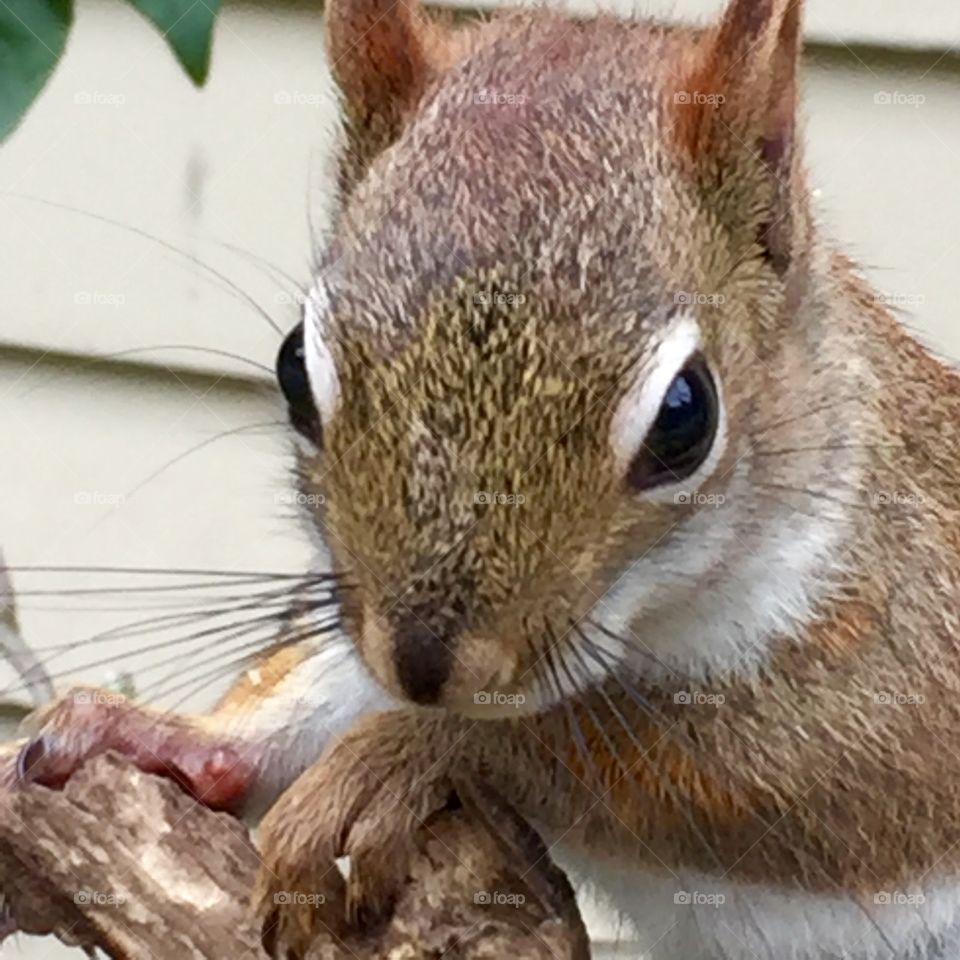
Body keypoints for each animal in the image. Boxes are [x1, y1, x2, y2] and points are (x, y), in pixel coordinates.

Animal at [15, 0, 960, 957]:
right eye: (292, 368)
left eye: (687, 415)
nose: (426, 666)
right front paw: (158, 734)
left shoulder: (894, 667)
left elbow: (653, 760)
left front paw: (400, 752)